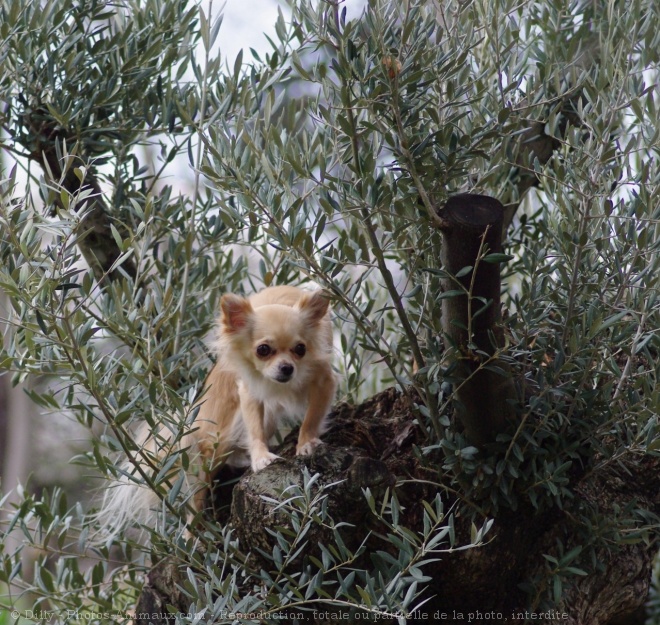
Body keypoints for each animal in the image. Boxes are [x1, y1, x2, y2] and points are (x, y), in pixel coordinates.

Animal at [94, 286, 336, 540]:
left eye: (301, 349)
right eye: (263, 350)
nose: (287, 368)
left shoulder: (324, 382)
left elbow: (311, 418)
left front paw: (306, 442)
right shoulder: (250, 391)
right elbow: (255, 430)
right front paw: (260, 456)